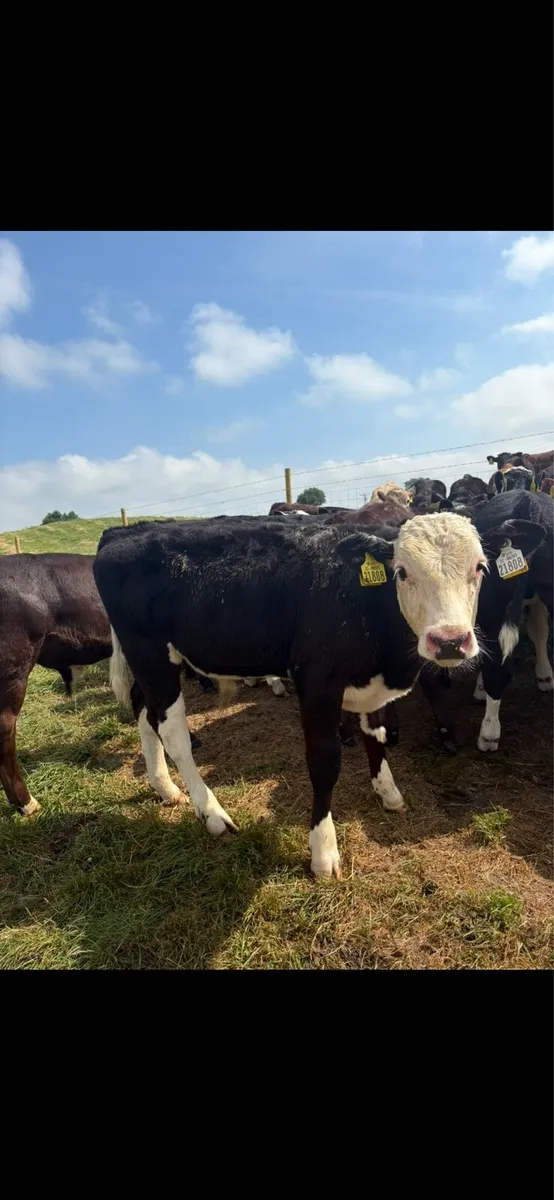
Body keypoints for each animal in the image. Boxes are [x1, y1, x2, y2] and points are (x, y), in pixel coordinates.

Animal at [94, 512, 489, 878]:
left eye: (480, 567)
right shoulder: (317, 684)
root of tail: (123, 531)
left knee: (144, 711)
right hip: (151, 656)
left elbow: (375, 735)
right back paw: (213, 814)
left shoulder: (370, 683)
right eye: (402, 572)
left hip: (149, 664)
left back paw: (165, 787)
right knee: (173, 733)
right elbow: (325, 764)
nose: (450, 641)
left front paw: (388, 791)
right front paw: (324, 853)